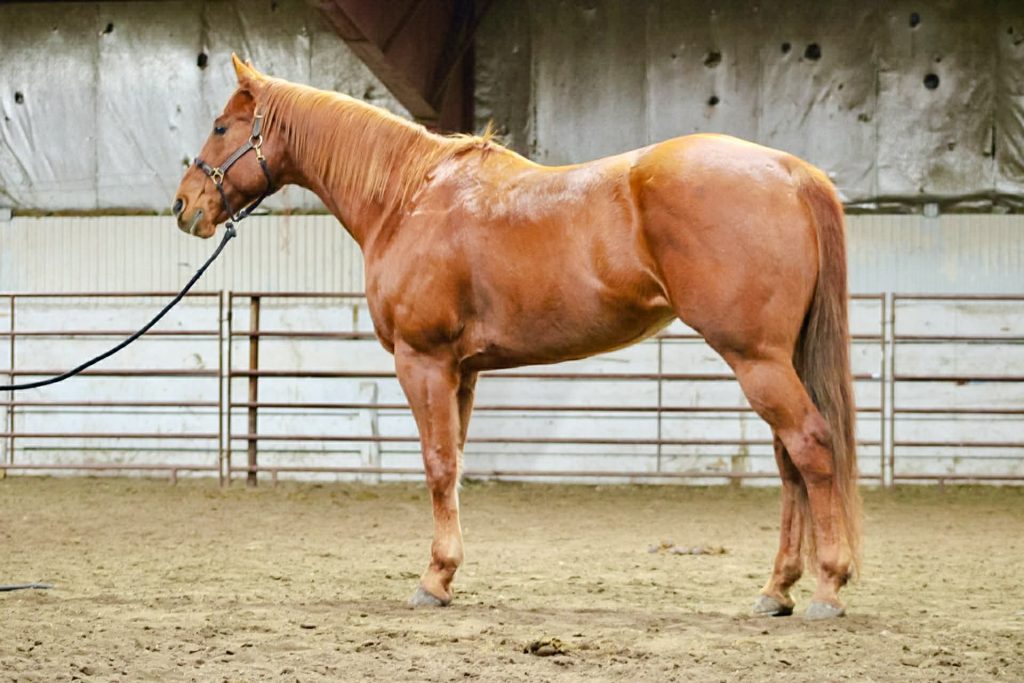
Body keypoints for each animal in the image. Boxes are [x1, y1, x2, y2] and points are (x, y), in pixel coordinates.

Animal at [174, 55, 861, 620]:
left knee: (810, 446)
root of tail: (790, 171)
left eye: (221, 125)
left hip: (757, 360)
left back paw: (827, 587)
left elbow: (436, 464)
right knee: (790, 462)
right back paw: (777, 590)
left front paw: (433, 580)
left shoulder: (423, 362)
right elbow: (454, 465)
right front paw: (447, 575)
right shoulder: (464, 371)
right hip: (775, 360)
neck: (407, 198)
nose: (184, 206)